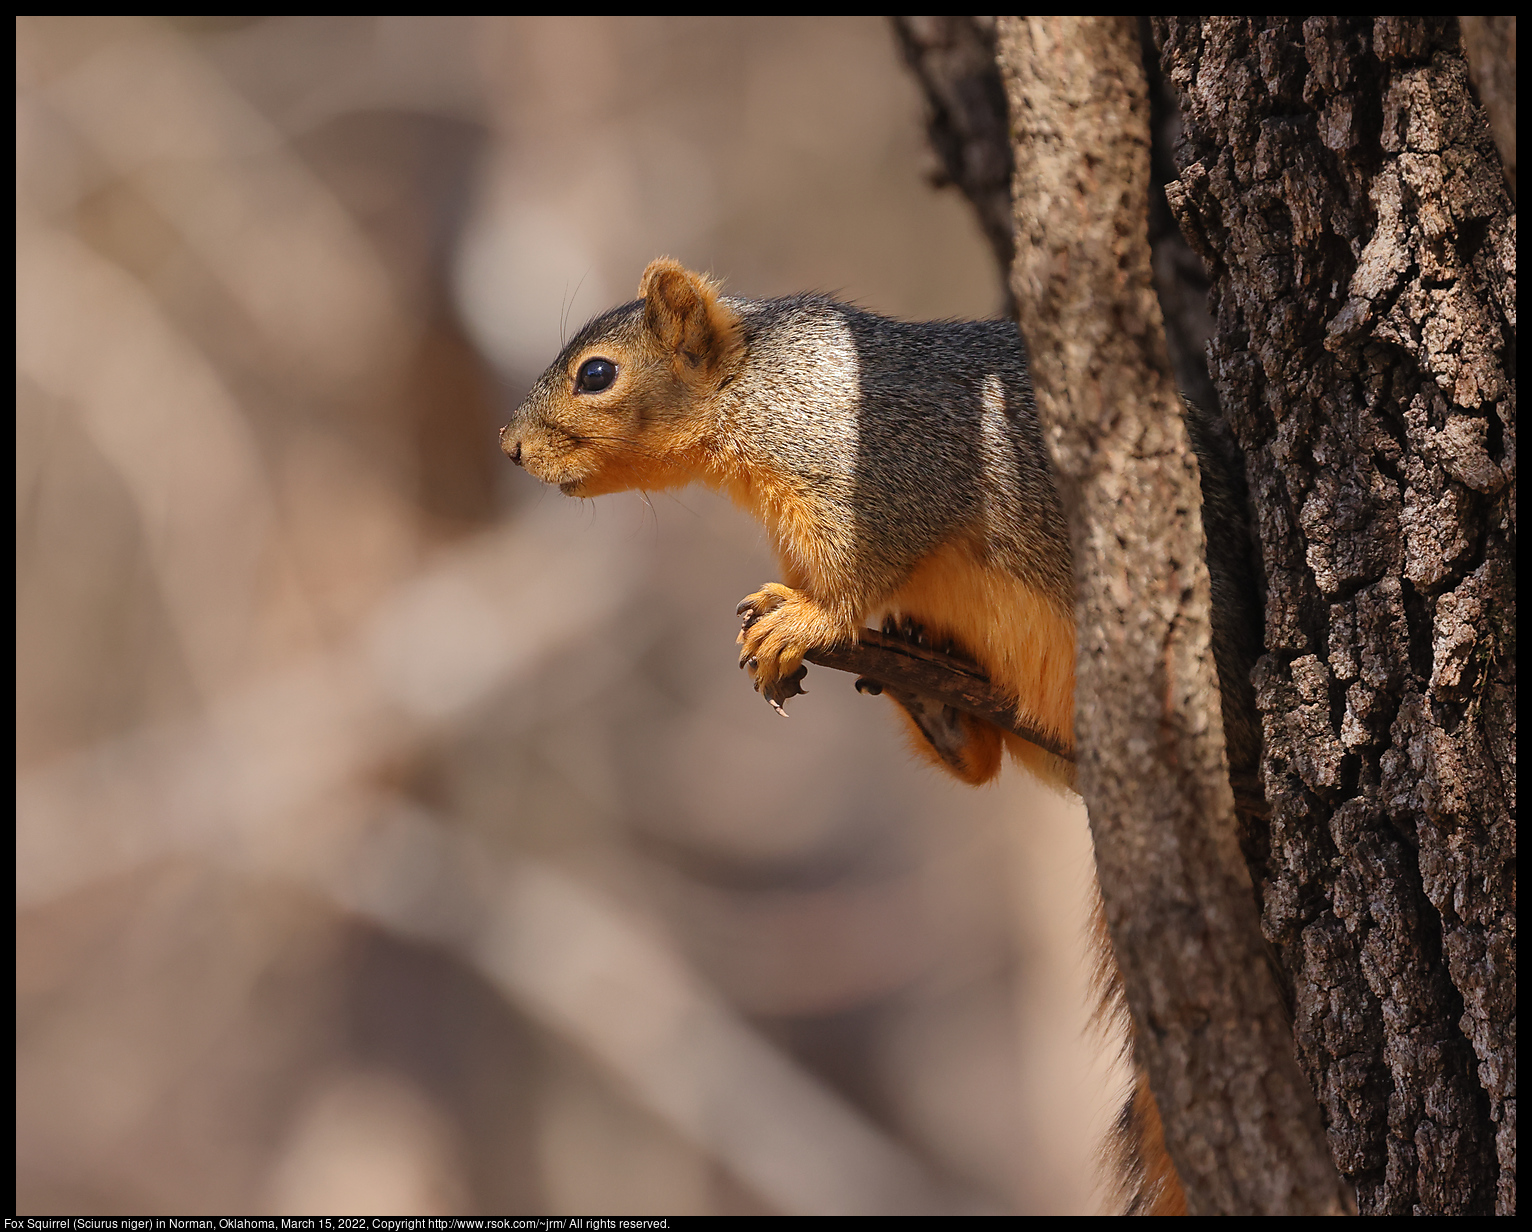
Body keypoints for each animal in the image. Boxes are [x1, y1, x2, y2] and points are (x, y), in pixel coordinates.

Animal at [496, 257, 1262, 1213]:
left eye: (596, 374)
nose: (507, 447)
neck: (760, 391)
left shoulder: (884, 478)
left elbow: (857, 575)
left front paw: (804, 623)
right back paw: (939, 711)